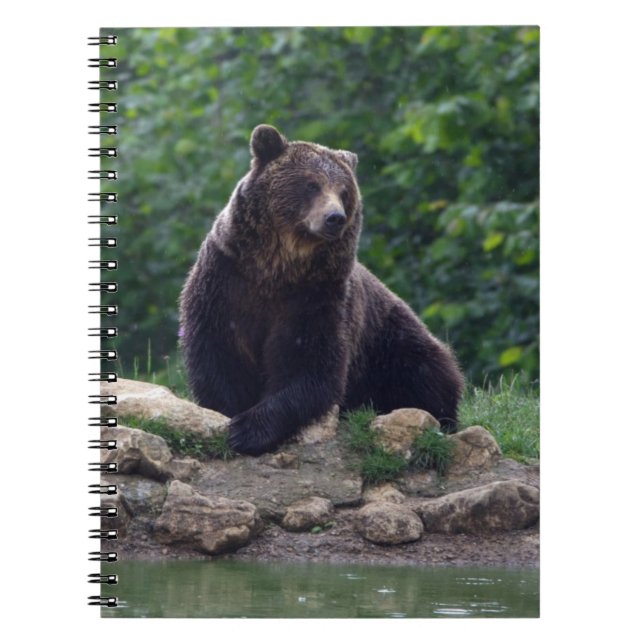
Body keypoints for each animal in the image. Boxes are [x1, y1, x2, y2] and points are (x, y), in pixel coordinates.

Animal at [179, 124, 464, 456]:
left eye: (344, 192)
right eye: (311, 185)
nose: (334, 217)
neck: (276, 268)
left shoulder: (317, 296)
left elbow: (312, 365)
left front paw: (248, 429)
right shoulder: (226, 282)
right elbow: (219, 353)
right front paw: (230, 415)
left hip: (389, 340)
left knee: (428, 372)